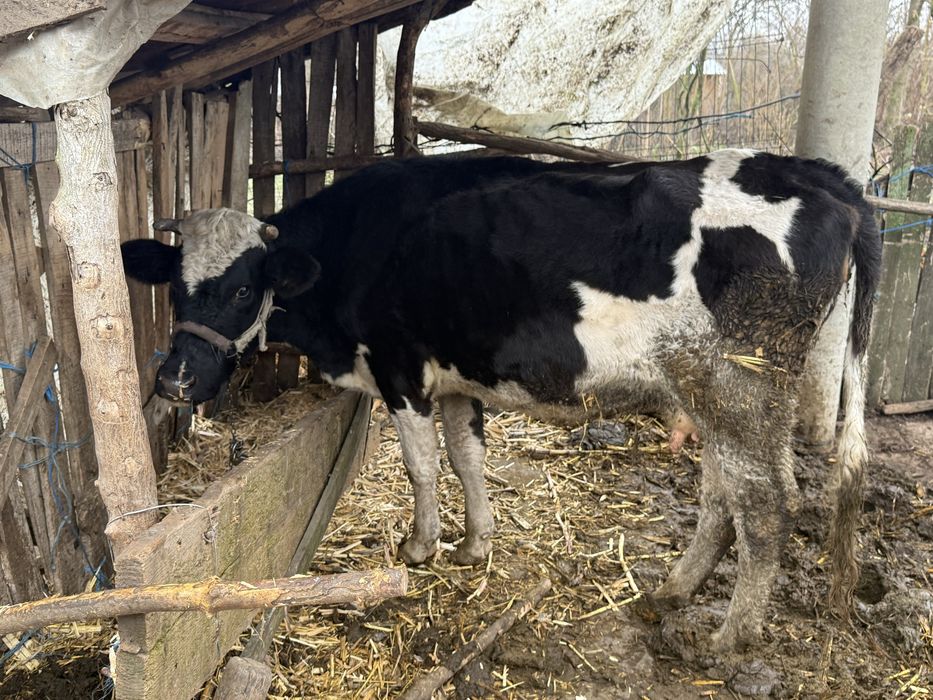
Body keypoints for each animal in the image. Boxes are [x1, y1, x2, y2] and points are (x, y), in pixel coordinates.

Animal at [121, 150, 881, 654]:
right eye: (175, 288)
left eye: (244, 288)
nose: (177, 381)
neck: (356, 243)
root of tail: (814, 173)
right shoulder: (459, 378)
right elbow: (467, 460)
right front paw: (474, 543)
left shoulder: (401, 370)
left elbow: (421, 467)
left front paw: (420, 546)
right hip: (711, 393)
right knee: (724, 496)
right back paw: (674, 590)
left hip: (740, 385)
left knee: (767, 505)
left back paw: (731, 637)